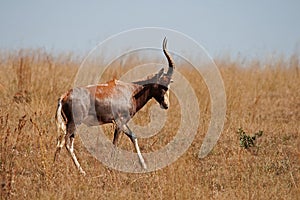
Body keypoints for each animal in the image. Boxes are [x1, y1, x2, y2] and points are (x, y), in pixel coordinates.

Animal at [54, 38, 175, 175]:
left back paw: (55, 166)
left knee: (61, 142)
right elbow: (119, 141)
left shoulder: (120, 123)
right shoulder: (119, 121)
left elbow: (131, 137)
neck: (132, 91)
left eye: (168, 84)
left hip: (69, 124)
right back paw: (81, 171)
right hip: (74, 123)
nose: (166, 105)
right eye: (161, 85)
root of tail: (64, 96)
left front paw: (142, 166)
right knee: (66, 143)